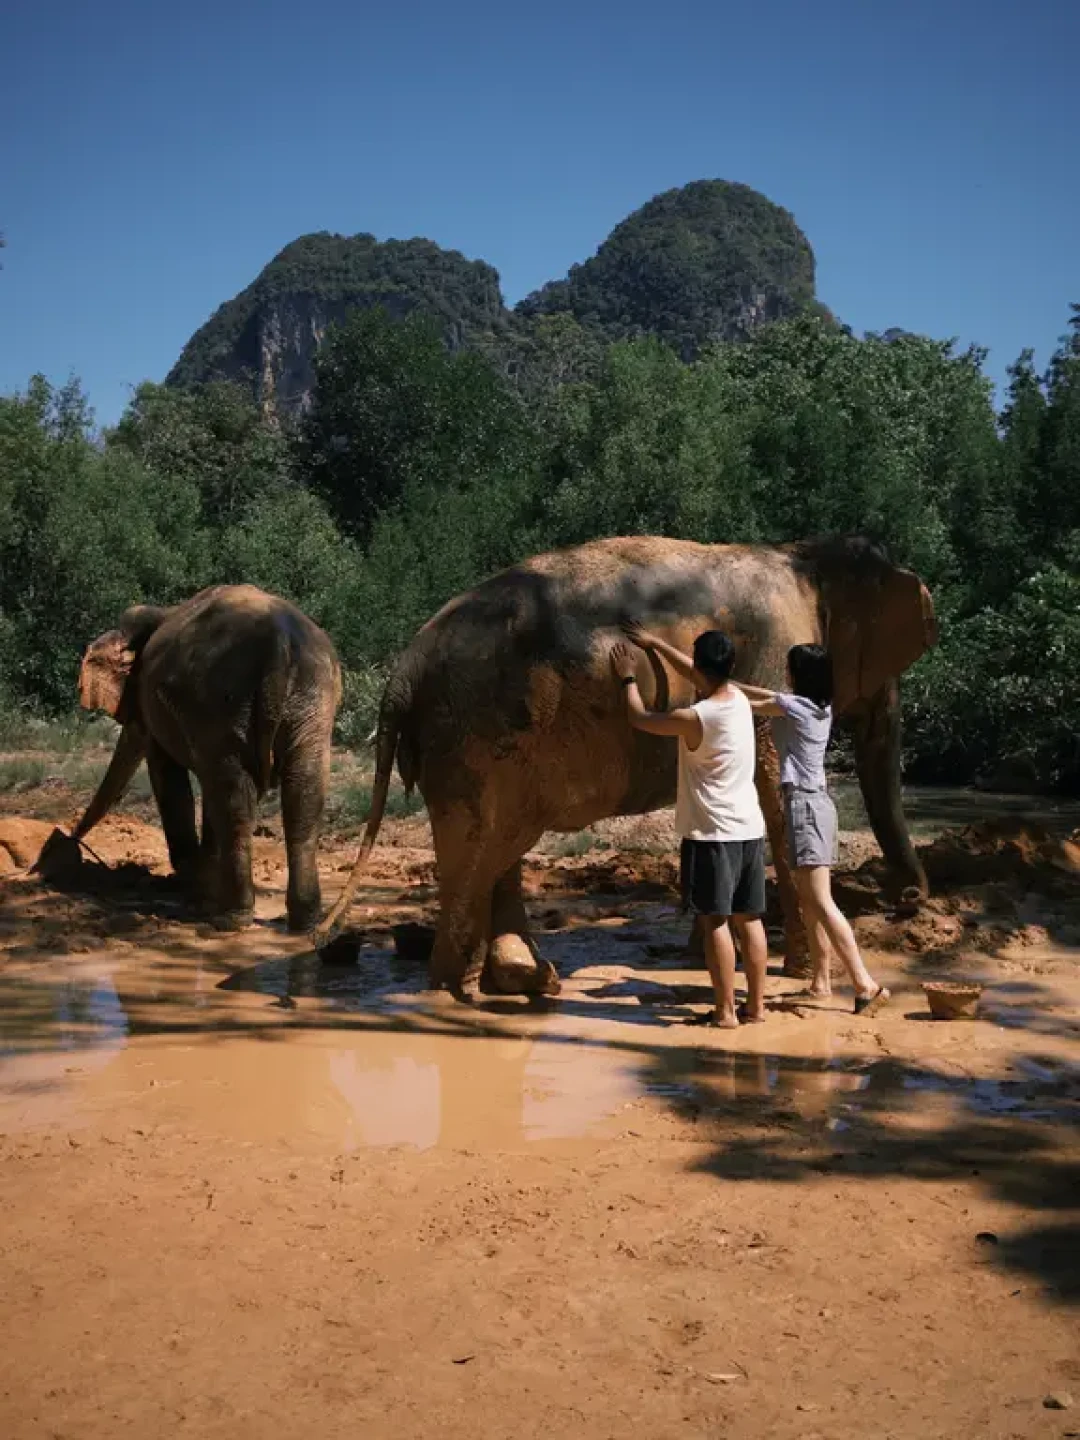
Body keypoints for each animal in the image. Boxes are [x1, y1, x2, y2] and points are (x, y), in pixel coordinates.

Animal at [72, 584, 341, 931]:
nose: (71, 840)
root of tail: (278, 645)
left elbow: (168, 775)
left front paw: (195, 893)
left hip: (222, 701)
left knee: (236, 801)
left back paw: (228, 919)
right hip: (312, 702)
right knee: (301, 796)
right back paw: (304, 924)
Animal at [314, 535, 937, 998]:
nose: (910, 897)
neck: (802, 552)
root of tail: (401, 674)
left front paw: (703, 957)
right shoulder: (776, 653)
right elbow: (771, 794)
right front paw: (798, 976)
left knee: (496, 846)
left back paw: (522, 981)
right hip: (473, 735)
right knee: (482, 847)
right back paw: (458, 990)